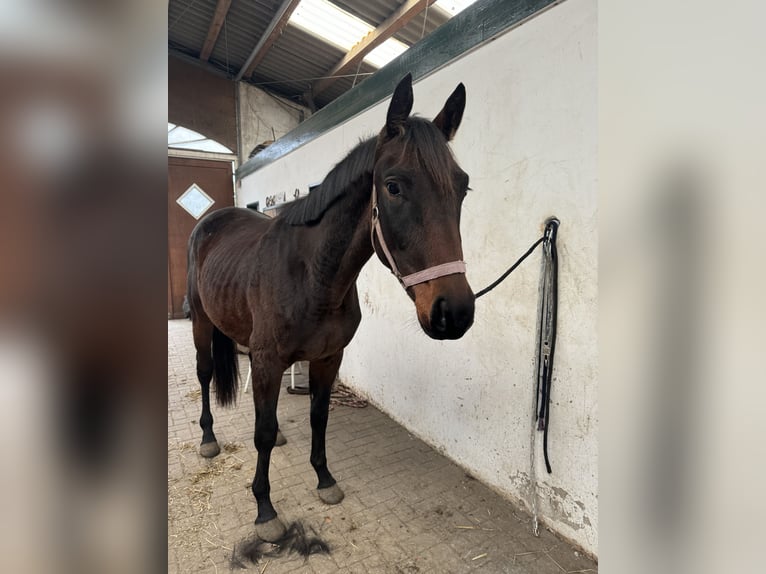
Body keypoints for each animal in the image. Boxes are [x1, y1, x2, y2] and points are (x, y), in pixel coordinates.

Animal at [186, 73, 474, 544]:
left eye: (462, 186)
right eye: (393, 186)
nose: (455, 312)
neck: (311, 275)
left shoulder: (327, 357)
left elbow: (317, 417)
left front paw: (324, 480)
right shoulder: (267, 359)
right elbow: (260, 432)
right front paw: (265, 510)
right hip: (202, 323)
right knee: (206, 373)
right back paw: (208, 439)